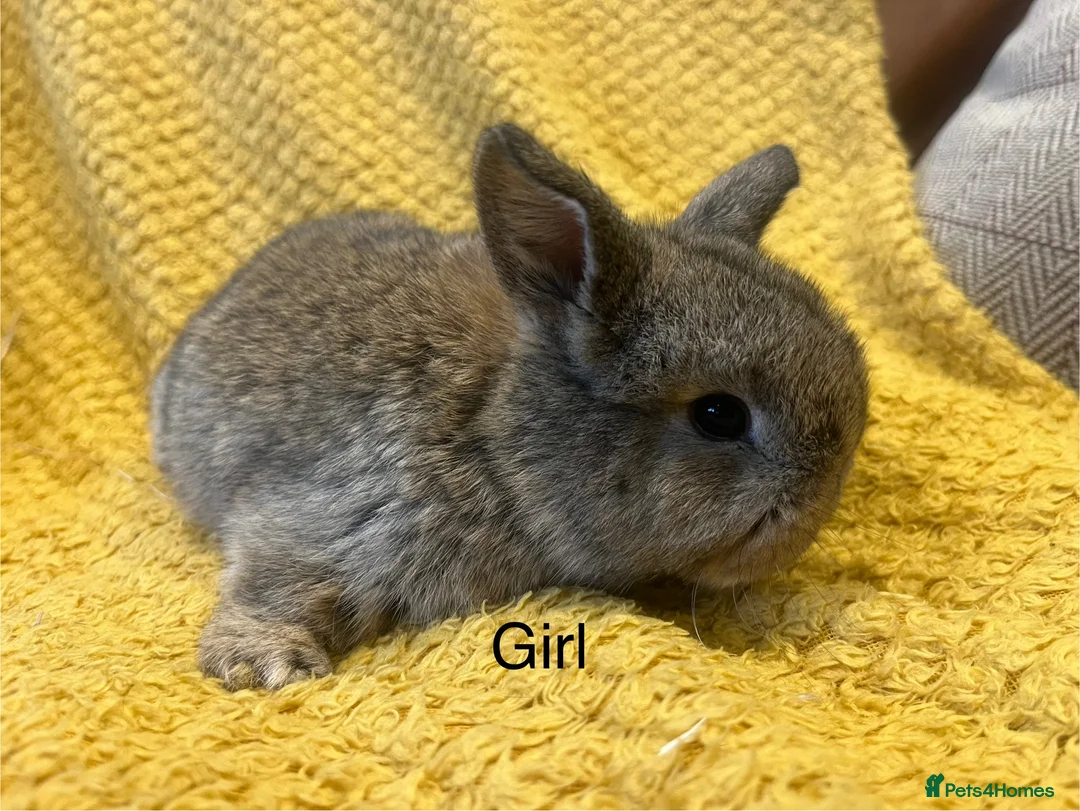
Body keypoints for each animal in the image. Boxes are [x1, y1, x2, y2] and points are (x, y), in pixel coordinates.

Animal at [151, 124, 869, 691]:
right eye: (720, 415)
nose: (820, 499)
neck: (494, 435)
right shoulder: (335, 517)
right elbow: (281, 579)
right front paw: (265, 665)